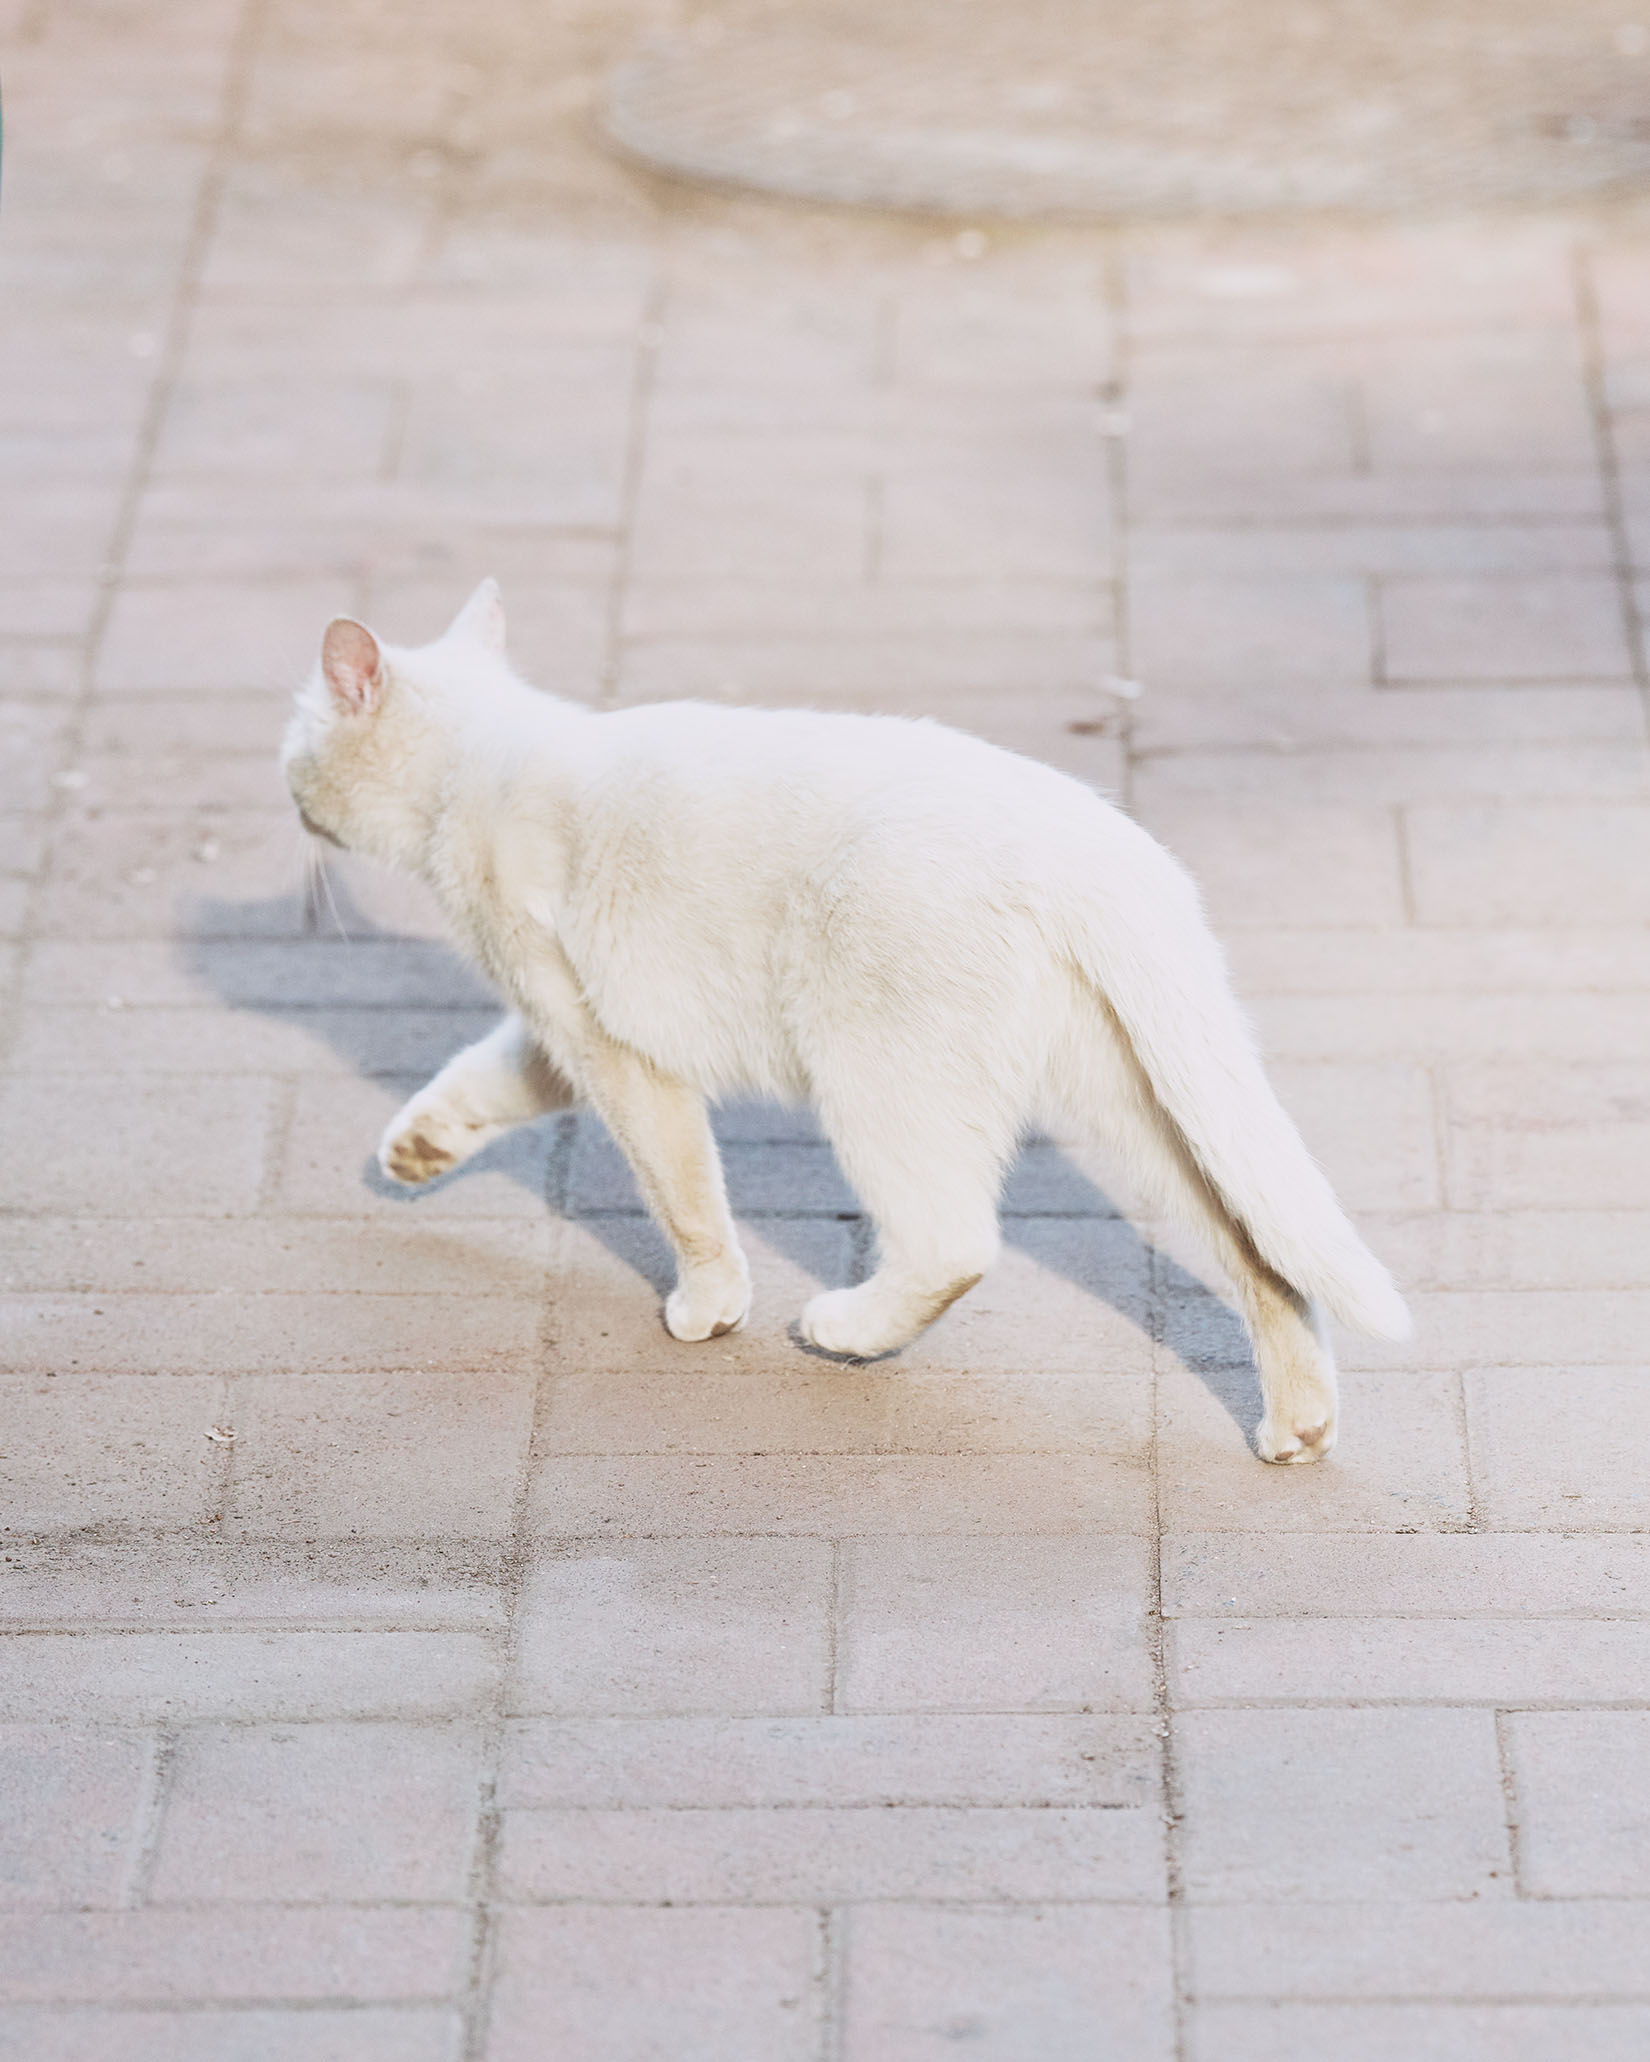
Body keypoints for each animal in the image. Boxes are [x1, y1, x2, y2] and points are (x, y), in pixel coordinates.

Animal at [280, 577, 1402, 1468]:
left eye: (294, 734)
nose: (280, 776)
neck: (482, 760)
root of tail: (1091, 843)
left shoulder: (610, 1042)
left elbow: (682, 1196)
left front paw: (707, 1309)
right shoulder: (563, 1031)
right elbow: (485, 1076)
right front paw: (416, 1151)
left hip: (873, 1076)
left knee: (954, 1243)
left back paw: (846, 1329)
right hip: (1144, 1109)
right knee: (1261, 1254)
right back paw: (1298, 1430)